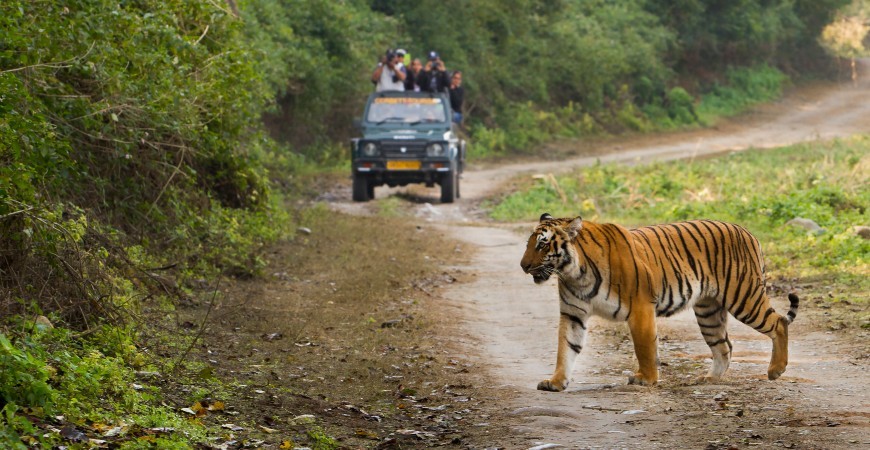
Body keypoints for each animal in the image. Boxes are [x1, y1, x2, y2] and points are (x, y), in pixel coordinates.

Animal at [520, 213, 800, 392]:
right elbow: (565, 348)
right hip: (708, 311)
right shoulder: (573, 314)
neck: (574, 273)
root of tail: (748, 232)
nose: (523, 266)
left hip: (744, 297)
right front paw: (556, 382)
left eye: (543, 245)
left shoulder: (640, 307)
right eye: (529, 244)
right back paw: (709, 379)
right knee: (724, 346)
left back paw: (776, 370)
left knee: (778, 323)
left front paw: (646, 379)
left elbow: (644, 347)